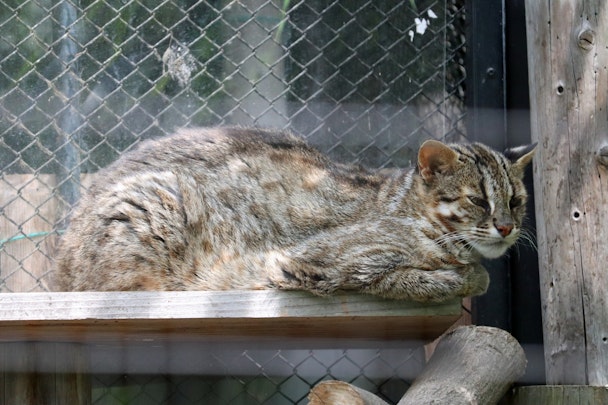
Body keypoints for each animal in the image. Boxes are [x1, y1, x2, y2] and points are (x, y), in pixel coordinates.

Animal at [54, 126, 536, 300]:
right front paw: (465, 276)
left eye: (516, 200)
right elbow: (432, 278)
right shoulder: (319, 263)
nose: (506, 227)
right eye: (478, 200)